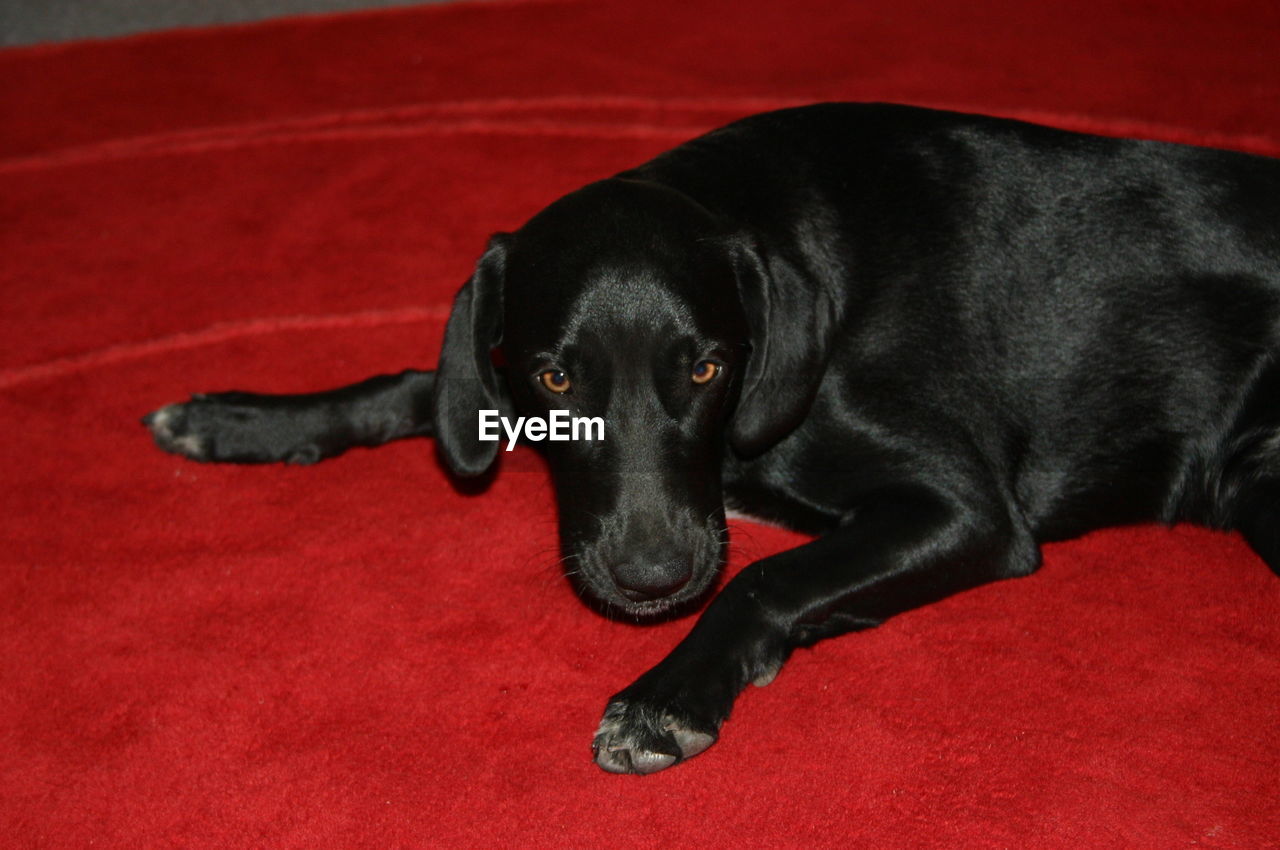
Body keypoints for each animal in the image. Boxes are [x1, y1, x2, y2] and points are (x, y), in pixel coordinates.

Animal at [145, 103, 1274, 773]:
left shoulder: (966, 509)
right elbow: (423, 388)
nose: (653, 578)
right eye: (556, 375)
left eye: (704, 368)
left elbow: (766, 577)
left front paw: (665, 695)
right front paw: (246, 417)